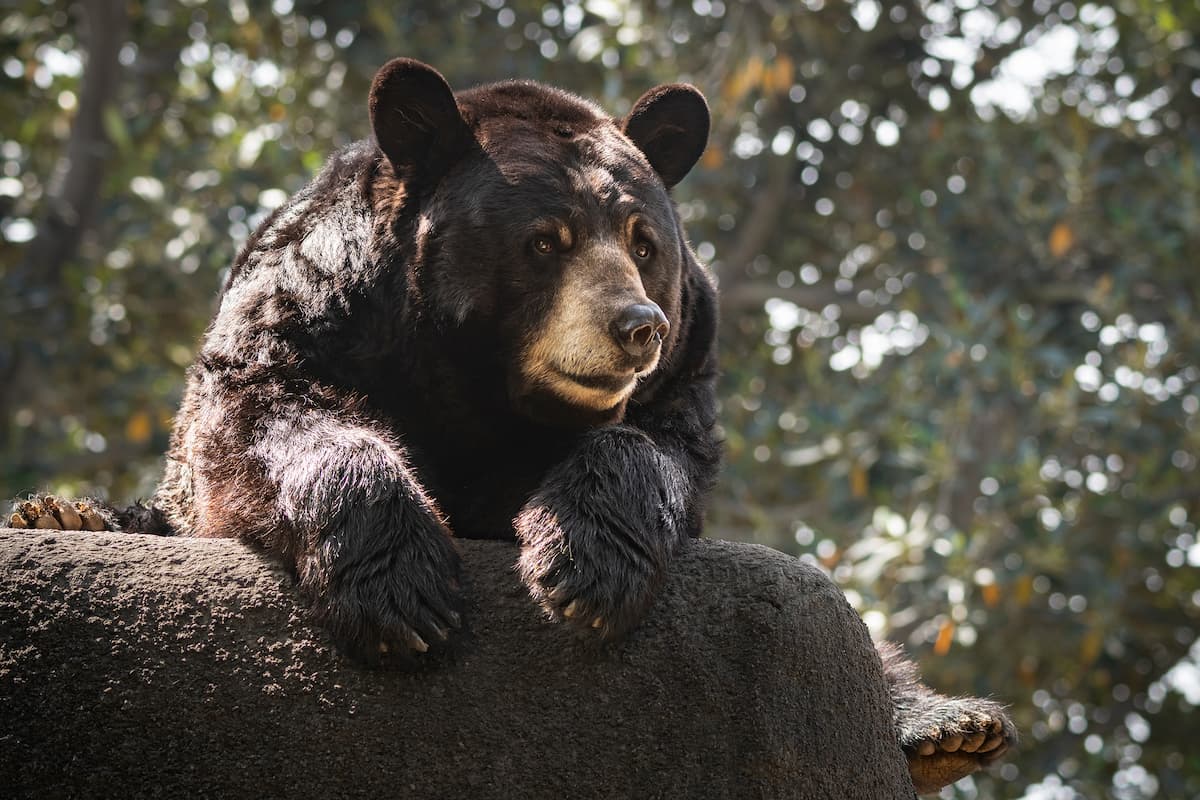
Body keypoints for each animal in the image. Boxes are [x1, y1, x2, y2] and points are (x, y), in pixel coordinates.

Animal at [14, 57, 1017, 796]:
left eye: (645, 243)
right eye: (546, 240)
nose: (637, 327)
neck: (480, 389)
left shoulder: (684, 374)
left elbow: (652, 448)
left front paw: (582, 568)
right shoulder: (310, 310)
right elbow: (269, 417)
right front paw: (407, 593)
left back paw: (944, 723)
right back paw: (63, 514)